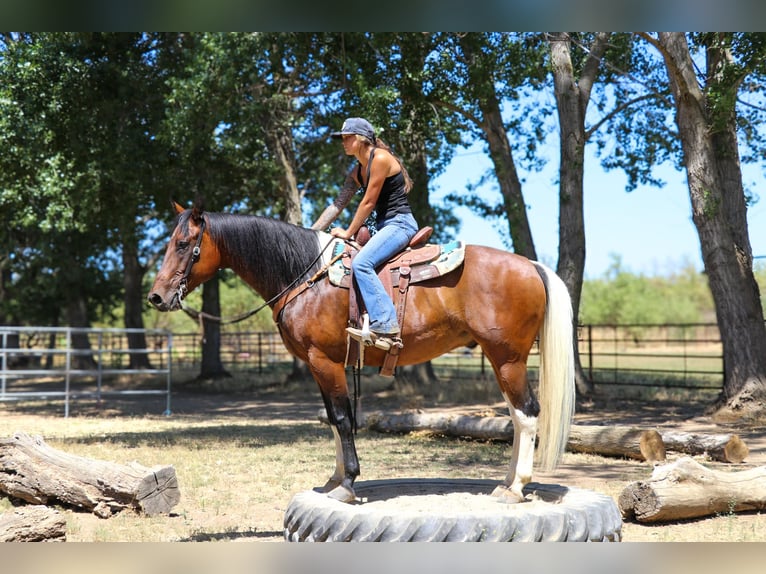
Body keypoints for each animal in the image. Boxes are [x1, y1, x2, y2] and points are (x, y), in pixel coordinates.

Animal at [147, 200, 575, 504]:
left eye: (184, 245)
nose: (157, 297)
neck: (307, 276)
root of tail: (531, 265)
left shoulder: (324, 361)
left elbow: (342, 418)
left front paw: (348, 483)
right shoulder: (322, 365)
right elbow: (335, 420)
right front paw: (335, 479)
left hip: (508, 358)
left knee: (527, 414)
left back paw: (516, 488)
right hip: (502, 359)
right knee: (517, 417)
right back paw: (506, 482)